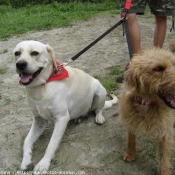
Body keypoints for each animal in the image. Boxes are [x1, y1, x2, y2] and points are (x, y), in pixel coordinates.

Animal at [118, 47, 174, 175]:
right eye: (158, 68)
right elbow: (131, 138)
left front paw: (164, 172)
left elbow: (164, 156)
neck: (146, 103)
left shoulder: (166, 131)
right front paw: (130, 153)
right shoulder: (130, 120)